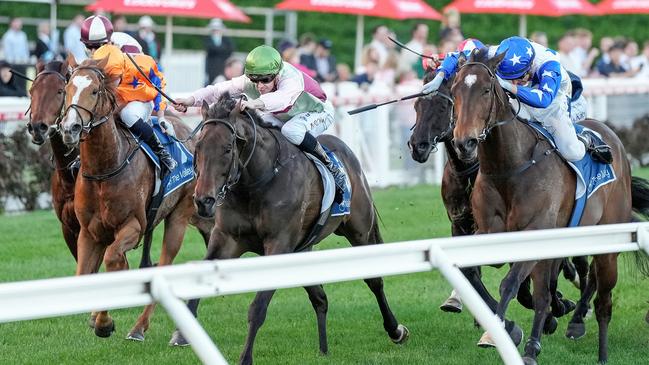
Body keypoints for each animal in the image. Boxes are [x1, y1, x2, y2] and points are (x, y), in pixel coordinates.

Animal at [57, 57, 211, 342]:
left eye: (94, 91)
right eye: (67, 89)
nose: (70, 128)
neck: (104, 169)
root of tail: (190, 133)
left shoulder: (133, 225)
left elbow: (113, 260)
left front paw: (104, 322)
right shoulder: (89, 232)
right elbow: (85, 272)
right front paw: (96, 317)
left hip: (179, 215)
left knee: (164, 264)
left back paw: (139, 328)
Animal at [448, 47, 648, 362]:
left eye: (485, 90)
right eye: (454, 91)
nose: (464, 142)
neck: (510, 167)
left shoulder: (535, 230)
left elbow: (511, 283)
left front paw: (499, 332)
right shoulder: (490, 232)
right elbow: (476, 272)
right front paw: (520, 332)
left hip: (607, 239)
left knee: (602, 297)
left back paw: (597, 347)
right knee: (560, 285)